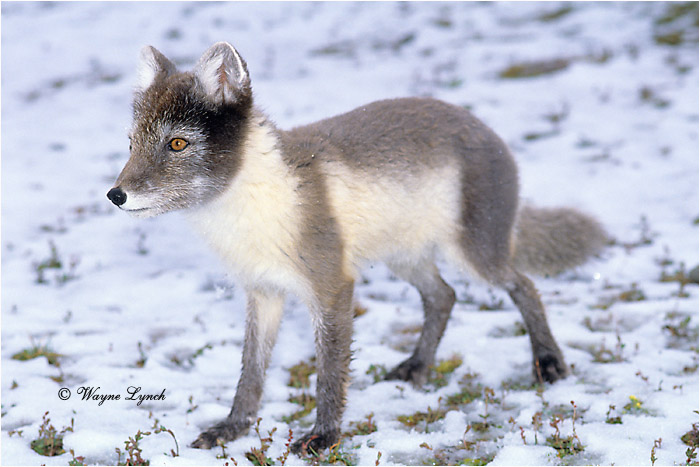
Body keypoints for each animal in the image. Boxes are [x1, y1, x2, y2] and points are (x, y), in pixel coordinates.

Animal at [107, 42, 608, 454]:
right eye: (131, 144)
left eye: (177, 143)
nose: (115, 195)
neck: (252, 205)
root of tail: (483, 125)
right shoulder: (263, 292)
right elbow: (251, 371)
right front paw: (233, 428)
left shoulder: (333, 286)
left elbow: (330, 373)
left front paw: (323, 437)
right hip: (405, 258)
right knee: (444, 296)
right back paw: (418, 368)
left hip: (476, 255)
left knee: (523, 285)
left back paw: (549, 362)